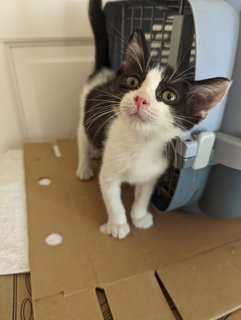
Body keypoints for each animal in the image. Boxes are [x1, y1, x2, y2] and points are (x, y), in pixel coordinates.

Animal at [76, 0, 231, 239]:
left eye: (169, 96)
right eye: (133, 81)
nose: (141, 99)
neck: (140, 143)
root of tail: (104, 74)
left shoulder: (152, 174)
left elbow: (143, 196)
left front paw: (139, 216)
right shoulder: (109, 174)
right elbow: (113, 201)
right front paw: (118, 225)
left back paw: (95, 151)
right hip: (83, 115)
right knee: (82, 141)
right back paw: (84, 166)